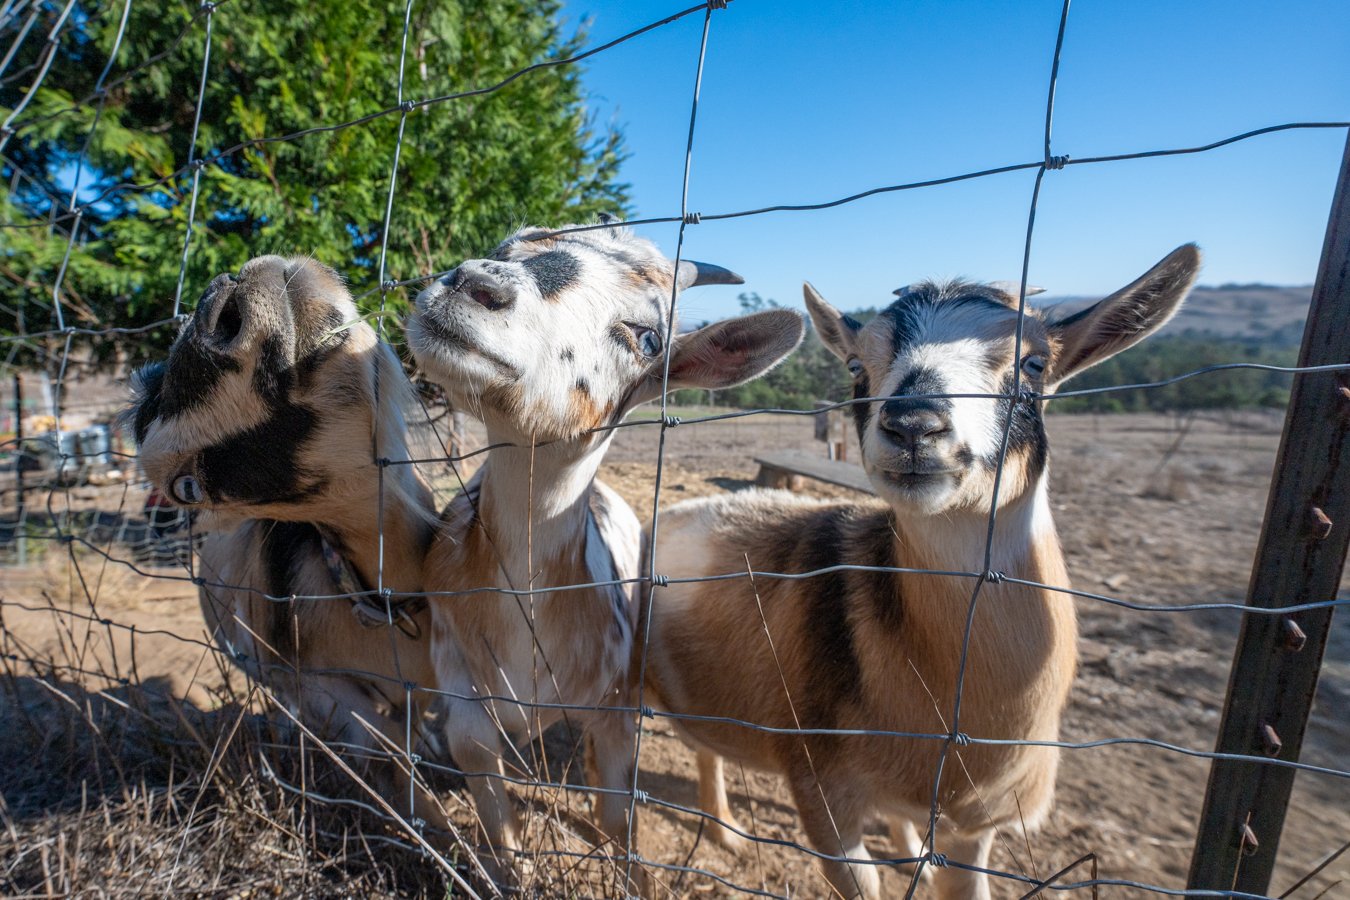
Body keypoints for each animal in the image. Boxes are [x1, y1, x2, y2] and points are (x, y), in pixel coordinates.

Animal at [406, 223, 804, 882]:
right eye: (511, 246)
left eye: (649, 338)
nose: (473, 283)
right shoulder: (463, 699)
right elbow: (496, 822)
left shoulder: (619, 705)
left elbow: (620, 818)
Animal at [639, 245, 1201, 898]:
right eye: (856, 366)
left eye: (1034, 364)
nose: (913, 424)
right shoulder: (821, 790)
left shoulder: (980, 825)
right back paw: (722, 830)